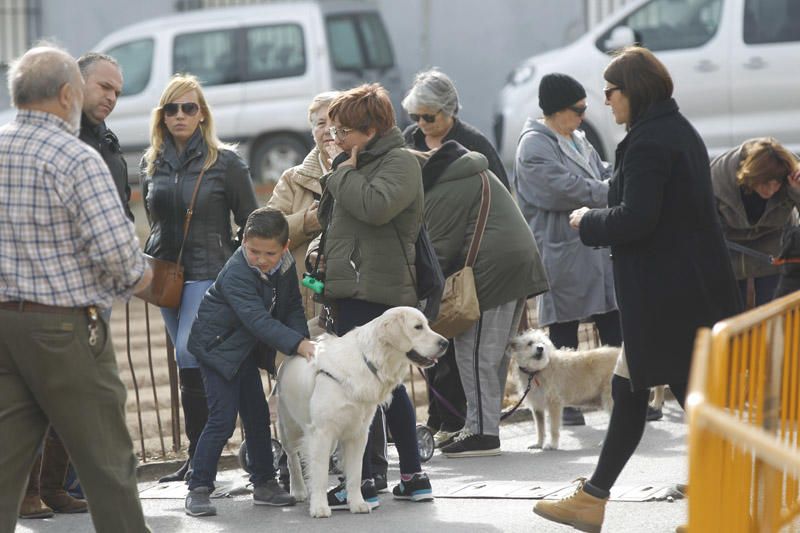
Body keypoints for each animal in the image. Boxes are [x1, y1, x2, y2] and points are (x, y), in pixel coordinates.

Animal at [278, 306, 446, 516]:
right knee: (292, 458)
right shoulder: (321, 433)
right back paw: (299, 490)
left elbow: (355, 474)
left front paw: (357, 503)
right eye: (418, 327)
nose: (445, 343)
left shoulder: (358, 434)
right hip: (290, 429)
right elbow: (320, 474)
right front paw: (319, 507)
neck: (369, 360)